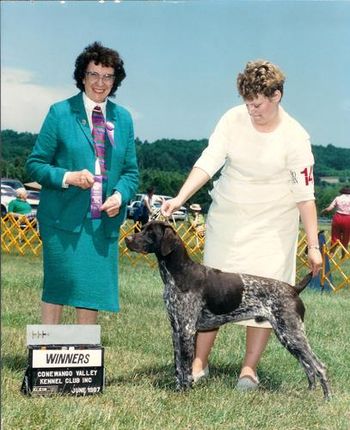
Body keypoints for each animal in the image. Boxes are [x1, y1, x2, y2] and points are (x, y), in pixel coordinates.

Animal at [125, 222, 330, 400]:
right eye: (142, 228)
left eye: (151, 233)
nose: (127, 239)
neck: (178, 273)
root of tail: (294, 288)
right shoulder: (176, 330)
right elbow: (178, 367)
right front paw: (178, 389)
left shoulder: (187, 330)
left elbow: (185, 367)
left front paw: (185, 392)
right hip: (288, 337)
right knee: (308, 366)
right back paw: (309, 394)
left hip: (291, 333)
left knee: (319, 366)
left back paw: (327, 399)